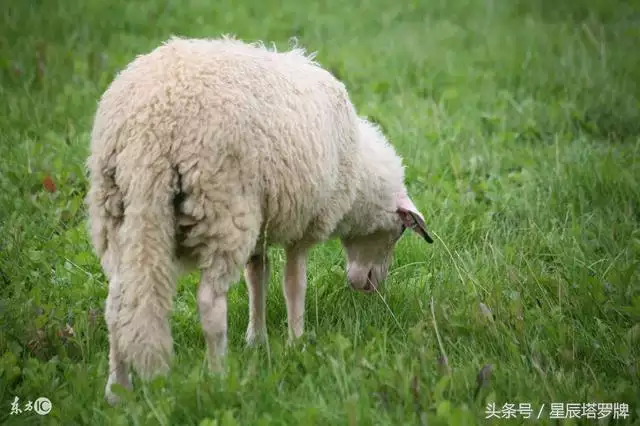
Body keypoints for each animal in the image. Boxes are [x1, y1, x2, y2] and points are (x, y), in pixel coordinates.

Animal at [86, 35, 436, 404]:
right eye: (398, 232)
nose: (371, 286)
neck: (358, 181)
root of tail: (147, 129)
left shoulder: (261, 226)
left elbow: (258, 276)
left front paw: (257, 339)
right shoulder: (303, 224)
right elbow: (294, 283)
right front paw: (297, 341)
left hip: (116, 214)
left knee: (117, 305)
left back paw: (117, 391)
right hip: (223, 210)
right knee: (209, 303)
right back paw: (218, 378)